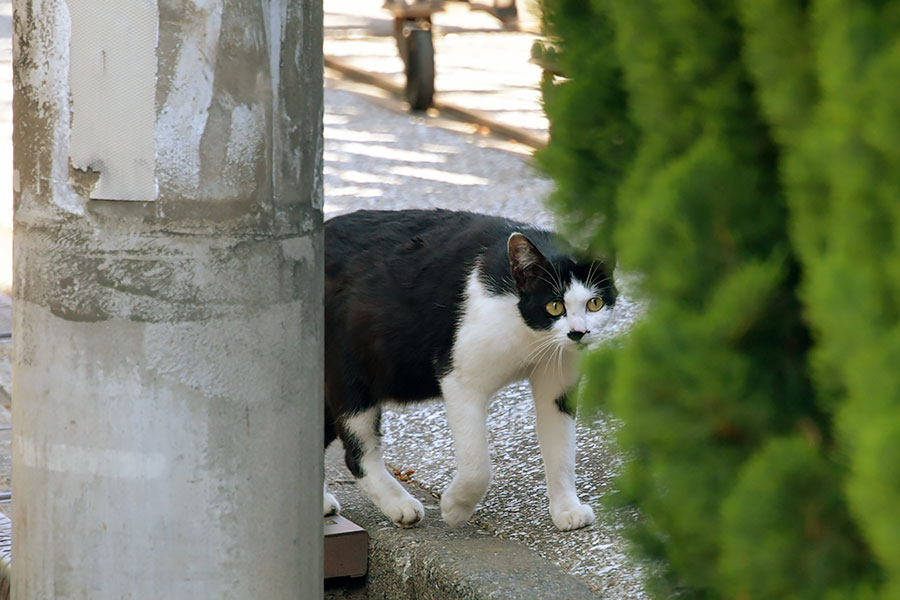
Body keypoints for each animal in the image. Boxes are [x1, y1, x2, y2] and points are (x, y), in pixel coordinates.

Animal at [326, 209, 620, 532]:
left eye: (595, 303)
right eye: (555, 306)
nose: (579, 333)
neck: (529, 334)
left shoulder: (557, 385)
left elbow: (562, 451)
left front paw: (567, 508)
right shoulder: (461, 380)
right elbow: (477, 466)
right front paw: (456, 507)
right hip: (351, 374)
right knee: (357, 454)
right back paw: (398, 504)